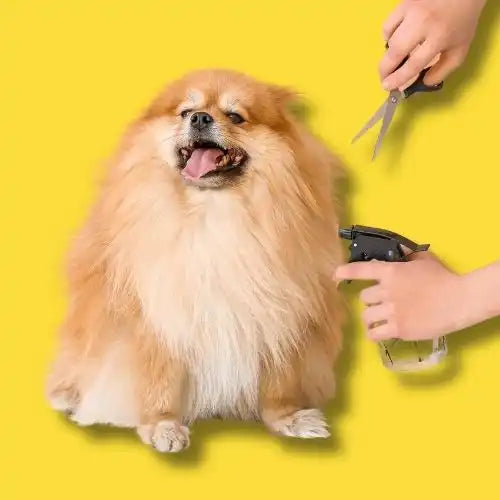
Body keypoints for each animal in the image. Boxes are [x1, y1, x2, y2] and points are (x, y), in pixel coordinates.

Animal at [46, 69, 344, 454]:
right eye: (186, 112)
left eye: (235, 116)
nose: (201, 118)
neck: (213, 211)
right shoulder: (158, 314)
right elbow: (159, 378)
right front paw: (162, 425)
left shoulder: (283, 311)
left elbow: (281, 380)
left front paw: (288, 418)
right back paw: (67, 396)